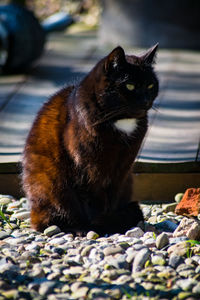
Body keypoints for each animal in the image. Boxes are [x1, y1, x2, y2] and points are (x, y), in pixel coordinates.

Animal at [21, 44, 159, 236]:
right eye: (130, 86)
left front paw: (110, 220)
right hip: (51, 184)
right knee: (48, 220)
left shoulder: (123, 168)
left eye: (151, 85)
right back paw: (78, 227)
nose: (146, 101)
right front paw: (99, 224)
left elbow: (113, 197)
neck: (121, 121)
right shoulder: (87, 169)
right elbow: (94, 201)